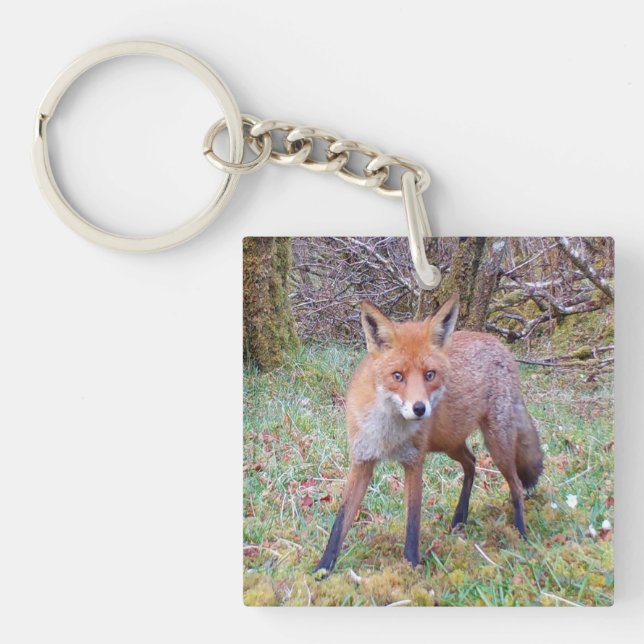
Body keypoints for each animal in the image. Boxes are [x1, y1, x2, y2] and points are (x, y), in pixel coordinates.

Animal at [315, 293, 543, 574]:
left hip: (496, 444)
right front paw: (322, 569)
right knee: (472, 463)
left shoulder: (414, 461)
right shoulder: (362, 460)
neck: (388, 433)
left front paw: (412, 566)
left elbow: (413, 520)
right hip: (450, 443)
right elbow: (340, 520)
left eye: (429, 375)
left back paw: (521, 533)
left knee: (516, 485)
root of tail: (500, 346)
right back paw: (459, 518)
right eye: (397, 376)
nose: (420, 409)